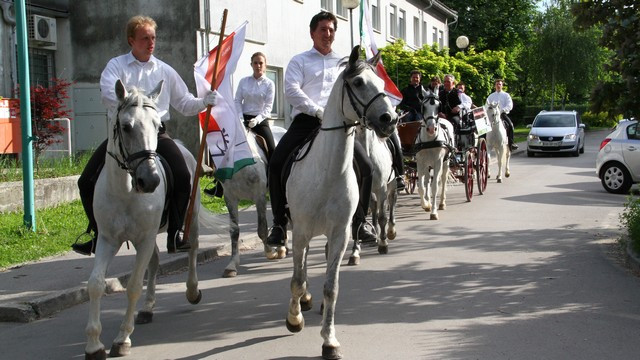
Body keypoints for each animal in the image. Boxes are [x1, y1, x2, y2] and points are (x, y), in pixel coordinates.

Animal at [84, 80, 205, 358]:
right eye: (126, 126)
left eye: (158, 126)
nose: (150, 181)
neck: (126, 191)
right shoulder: (108, 239)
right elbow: (96, 284)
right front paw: (94, 344)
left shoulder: (146, 238)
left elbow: (133, 286)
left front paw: (122, 339)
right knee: (155, 262)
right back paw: (148, 308)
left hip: (188, 221)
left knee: (193, 249)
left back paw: (192, 290)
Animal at [220, 129, 280, 278]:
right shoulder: (230, 198)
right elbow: (234, 231)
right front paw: (232, 265)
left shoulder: (259, 197)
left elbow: (262, 229)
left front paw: (270, 252)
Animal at [348, 126, 398, 264]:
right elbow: (358, 219)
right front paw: (355, 252)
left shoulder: (382, 189)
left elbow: (382, 218)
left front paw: (383, 244)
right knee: (374, 206)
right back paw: (374, 234)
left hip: (392, 184)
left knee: (392, 201)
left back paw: (390, 231)